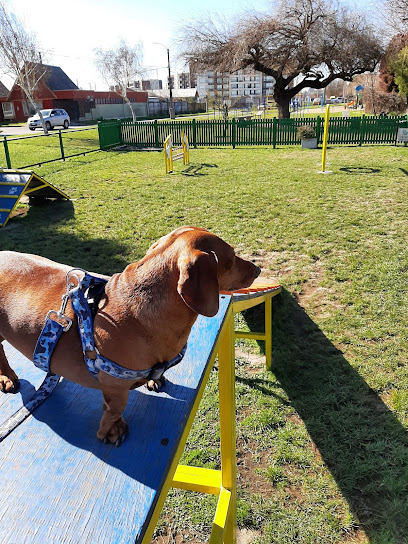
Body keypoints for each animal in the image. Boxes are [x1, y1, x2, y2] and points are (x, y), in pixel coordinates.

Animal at [0, 227, 262, 444]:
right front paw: (110, 430)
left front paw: (155, 379)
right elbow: (115, 409)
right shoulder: (114, 385)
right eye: (231, 257)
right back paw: (7, 377)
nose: (258, 269)